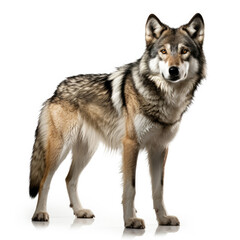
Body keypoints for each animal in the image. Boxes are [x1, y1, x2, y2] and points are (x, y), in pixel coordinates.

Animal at [29, 13, 206, 229]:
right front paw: (130, 220)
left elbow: (158, 190)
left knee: (69, 179)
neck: (164, 98)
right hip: (60, 149)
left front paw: (163, 219)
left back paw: (80, 211)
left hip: (86, 151)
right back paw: (40, 214)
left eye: (184, 51)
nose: (173, 70)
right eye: (163, 51)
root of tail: (56, 90)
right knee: (45, 181)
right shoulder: (131, 145)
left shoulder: (159, 149)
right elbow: (130, 187)